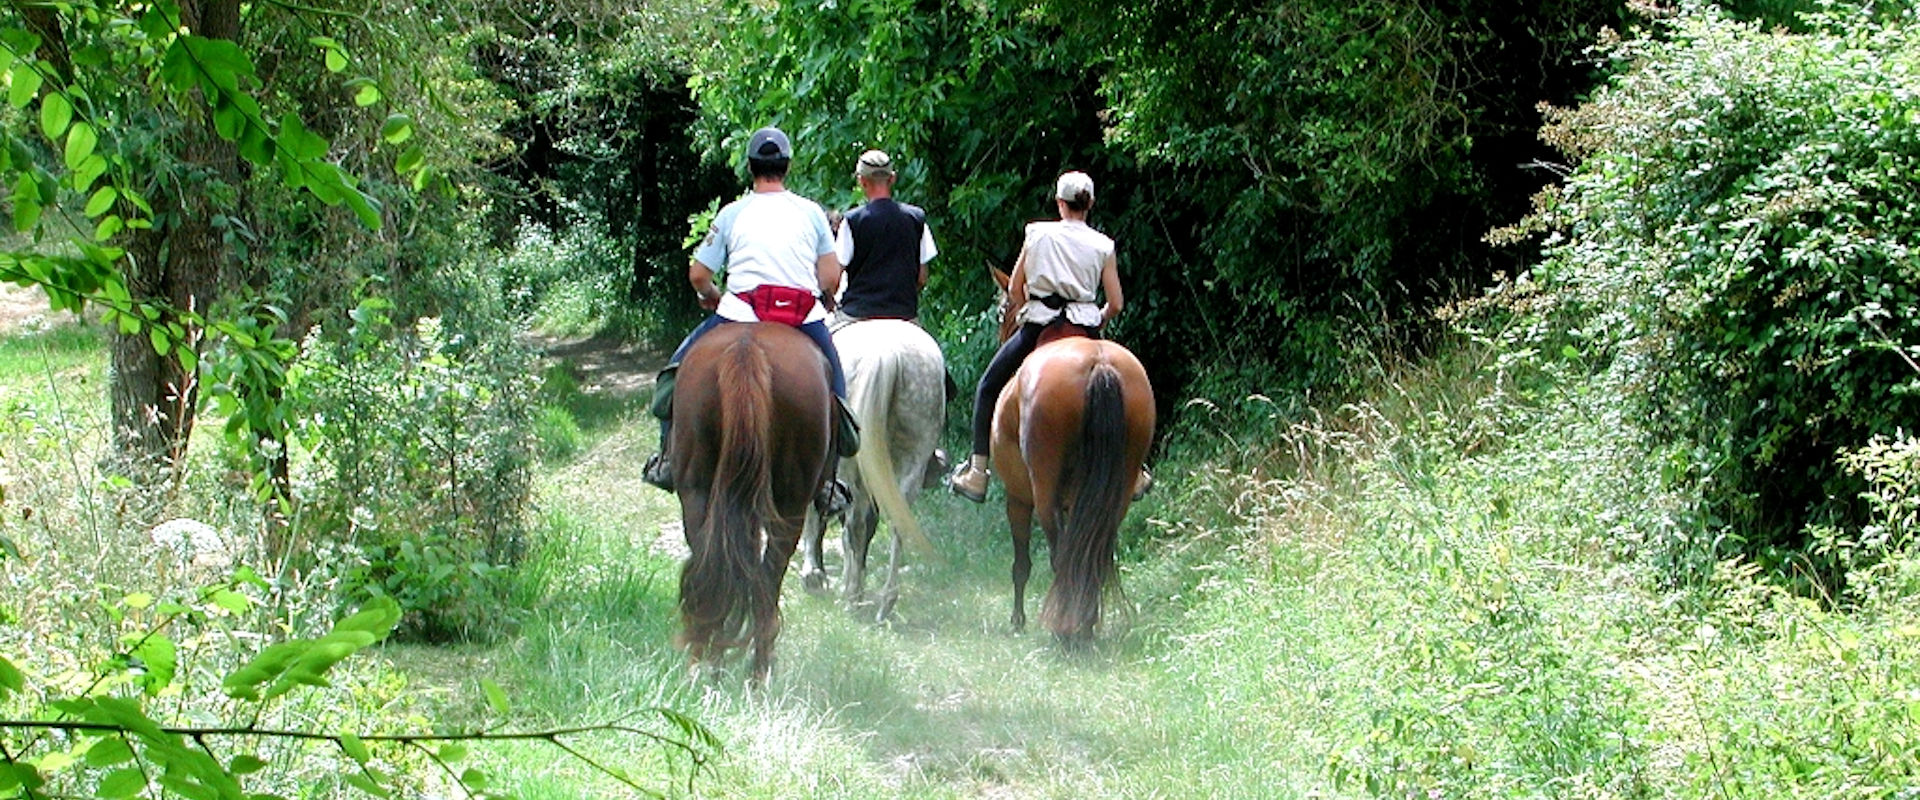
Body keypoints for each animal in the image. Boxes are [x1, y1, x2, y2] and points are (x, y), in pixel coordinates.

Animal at [668, 320, 833, 682]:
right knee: (765, 579)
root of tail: (746, 349)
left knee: (714, 569)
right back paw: (756, 670)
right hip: (789, 504)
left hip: (698, 492)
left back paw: (706, 663)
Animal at [798, 316, 940, 617]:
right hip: (911, 460)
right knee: (895, 523)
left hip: (852, 466)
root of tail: (888, 354)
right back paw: (885, 601)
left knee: (854, 525)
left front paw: (814, 575)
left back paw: (851, 597)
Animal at [990, 268, 1152, 640]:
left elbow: (1021, 563)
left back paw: (1067, 628)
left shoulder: (1017, 497)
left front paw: (1017, 620)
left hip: (1044, 492)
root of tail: (1099, 365)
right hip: (1116, 490)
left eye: (1002, 312)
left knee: (1061, 555)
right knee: (1093, 552)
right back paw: (1083, 623)